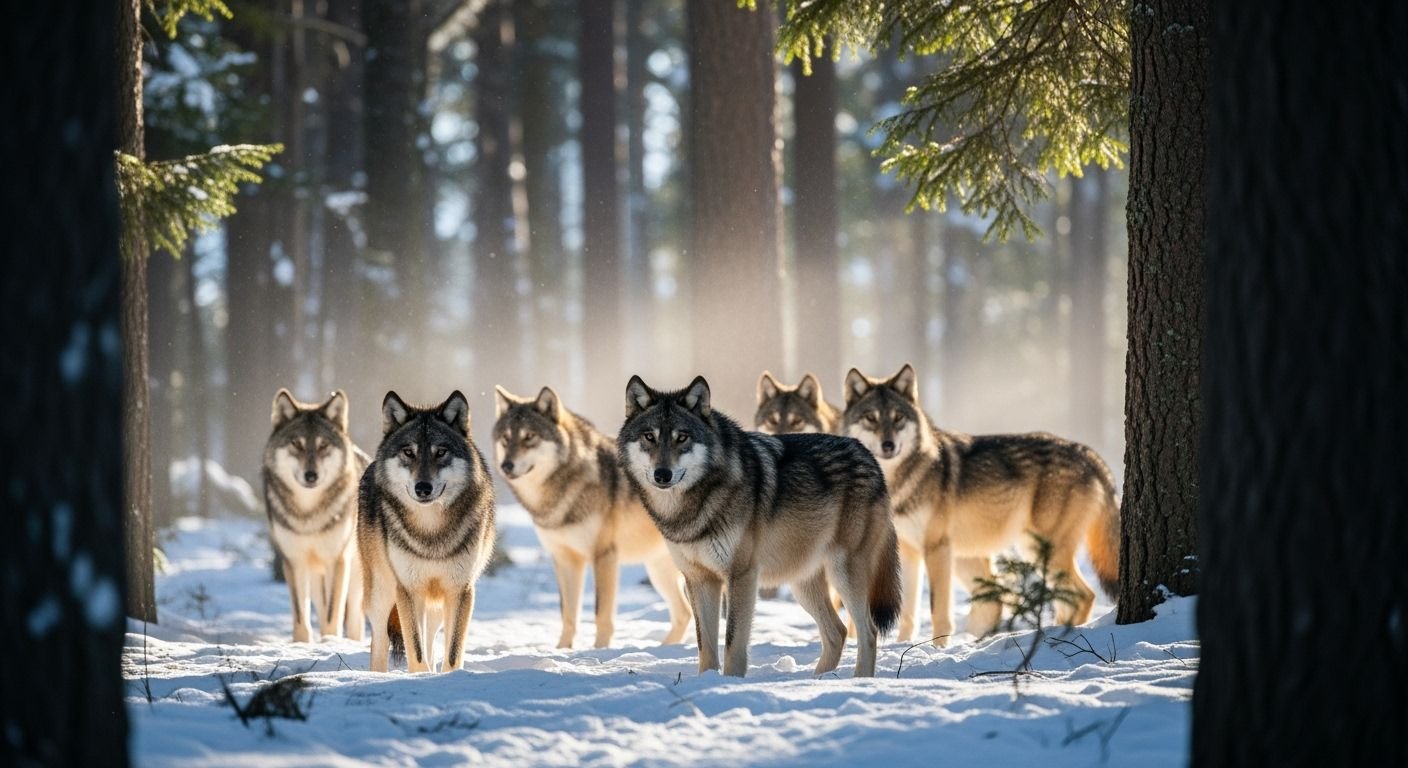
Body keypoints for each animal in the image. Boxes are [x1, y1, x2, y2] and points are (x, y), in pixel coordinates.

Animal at [263, 389, 368, 642]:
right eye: (296, 444)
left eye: (323, 445)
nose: (311, 475)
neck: (308, 514)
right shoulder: (294, 561)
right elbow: (301, 615)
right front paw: (302, 644)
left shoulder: (337, 560)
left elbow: (333, 615)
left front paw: (330, 642)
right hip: (315, 577)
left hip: (355, 578)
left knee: (355, 620)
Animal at [358, 391, 497, 673]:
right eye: (408, 452)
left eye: (440, 452)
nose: (423, 487)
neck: (431, 530)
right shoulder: (409, 590)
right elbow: (416, 649)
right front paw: (421, 676)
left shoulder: (460, 590)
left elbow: (451, 652)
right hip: (381, 593)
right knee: (379, 641)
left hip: (435, 604)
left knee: (431, 638)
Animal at [493, 385, 691, 648]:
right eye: (506, 438)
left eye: (529, 437)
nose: (506, 466)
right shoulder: (565, 560)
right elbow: (568, 614)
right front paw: (562, 650)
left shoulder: (604, 555)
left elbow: (601, 613)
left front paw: (600, 650)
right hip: (659, 571)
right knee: (684, 613)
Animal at [618, 375, 901, 678]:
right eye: (649, 437)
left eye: (681, 437)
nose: (662, 474)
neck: (691, 508)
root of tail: (869, 457)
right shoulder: (699, 579)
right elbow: (705, 644)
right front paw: (706, 681)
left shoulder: (741, 575)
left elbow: (732, 641)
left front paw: (729, 682)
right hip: (803, 582)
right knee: (838, 632)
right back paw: (818, 679)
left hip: (844, 572)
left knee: (867, 631)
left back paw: (859, 680)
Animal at [842, 364, 1120, 645]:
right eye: (871, 418)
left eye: (898, 417)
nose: (888, 445)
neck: (901, 480)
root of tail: (1088, 453)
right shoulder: (909, 552)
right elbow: (907, 614)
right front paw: (903, 645)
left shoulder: (936, 548)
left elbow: (937, 611)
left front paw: (938, 648)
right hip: (1008, 553)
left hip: (1038, 551)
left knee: (1084, 594)